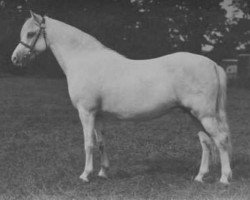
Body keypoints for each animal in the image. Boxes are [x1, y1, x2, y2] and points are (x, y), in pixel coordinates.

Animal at [11, 11, 232, 184]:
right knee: (206, 142)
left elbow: (88, 143)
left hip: (205, 115)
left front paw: (85, 175)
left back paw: (224, 178)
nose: (15, 58)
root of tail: (212, 64)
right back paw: (200, 177)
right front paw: (103, 173)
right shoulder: (98, 114)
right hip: (193, 115)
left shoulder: (86, 112)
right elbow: (101, 142)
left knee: (220, 140)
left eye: (31, 33)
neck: (84, 60)